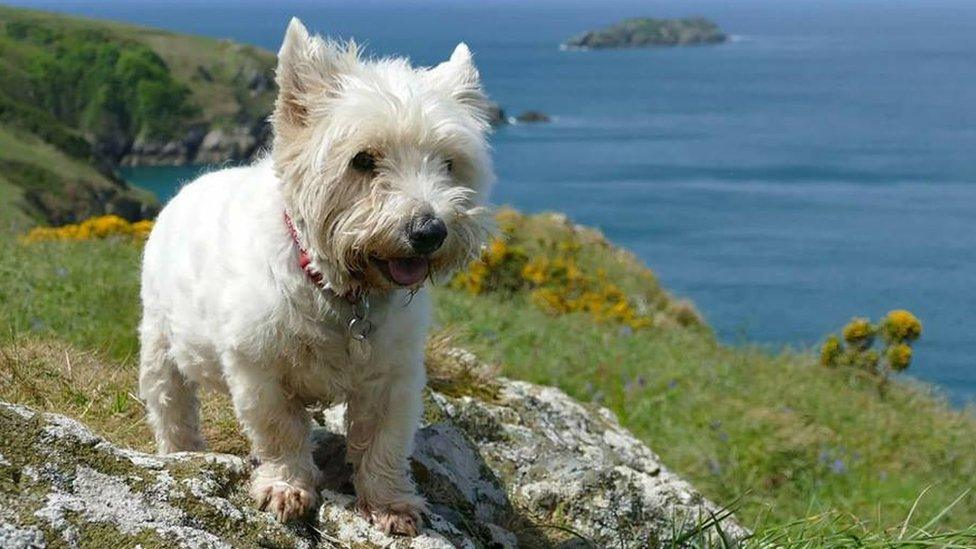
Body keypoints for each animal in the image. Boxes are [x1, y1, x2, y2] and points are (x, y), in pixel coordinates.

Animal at [135, 19, 496, 532]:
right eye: (363, 160)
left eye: (449, 163)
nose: (430, 231)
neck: (339, 290)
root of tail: (190, 186)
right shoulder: (258, 368)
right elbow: (280, 431)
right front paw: (287, 487)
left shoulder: (393, 374)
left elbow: (385, 441)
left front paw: (391, 504)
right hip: (161, 338)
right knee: (169, 399)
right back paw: (181, 451)